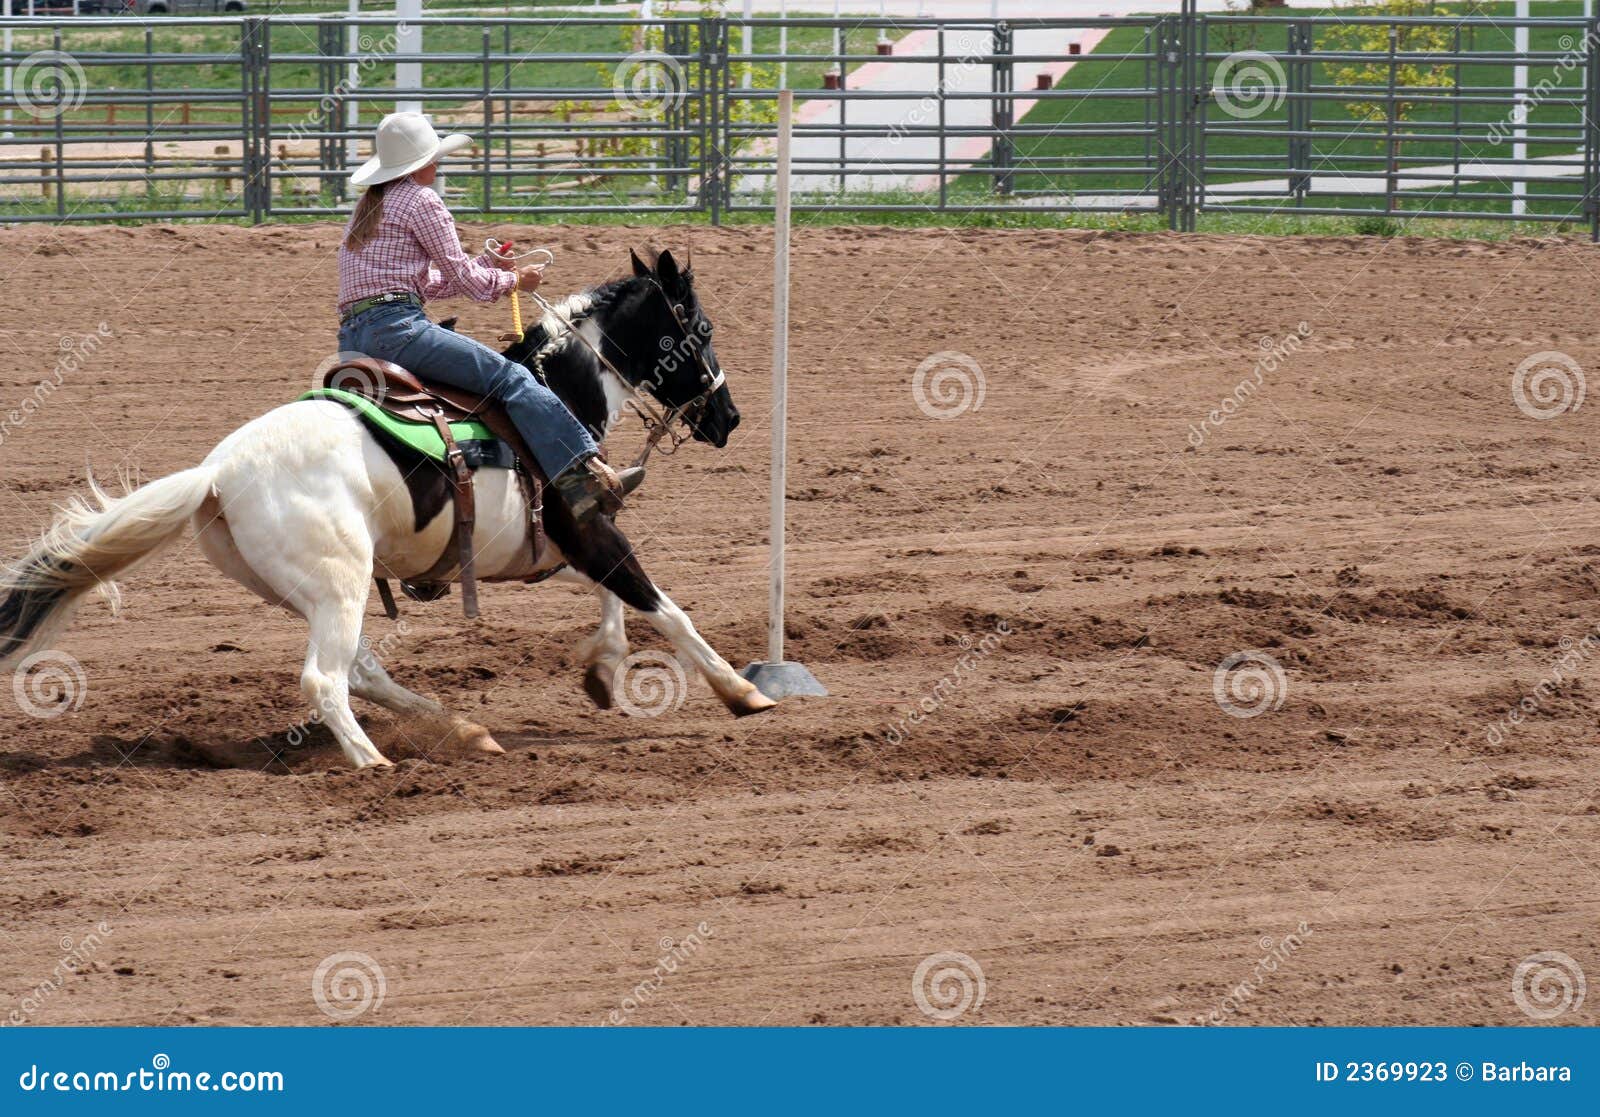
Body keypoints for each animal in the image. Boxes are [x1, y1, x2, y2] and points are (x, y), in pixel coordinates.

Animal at [0, 248, 775, 769]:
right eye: (702, 328)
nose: (730, 417)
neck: (557, 389)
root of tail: (218, 470)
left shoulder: (565, 540)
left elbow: (617, 598)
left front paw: (603, 671)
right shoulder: (582, 526)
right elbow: (660, 604)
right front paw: (743, 691)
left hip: (306, 590)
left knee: (361, 670)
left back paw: (462, 730)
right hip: (339, 582)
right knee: (327, 677)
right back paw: (375, 760)